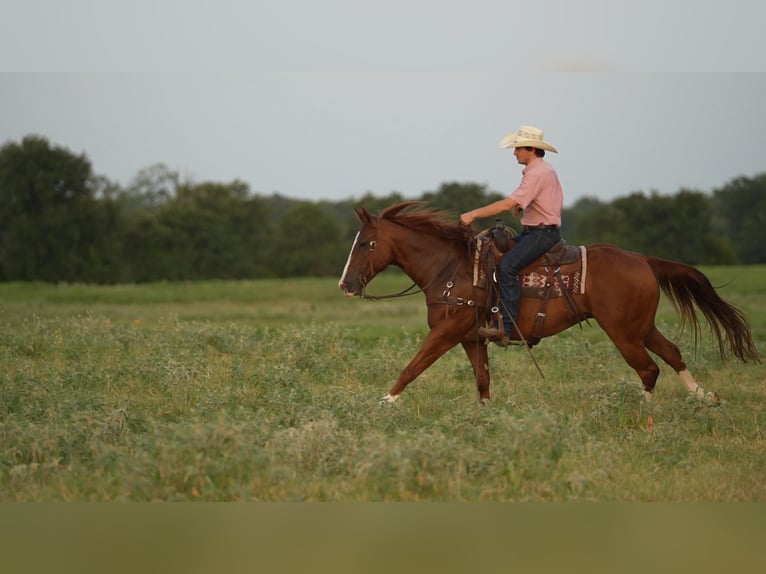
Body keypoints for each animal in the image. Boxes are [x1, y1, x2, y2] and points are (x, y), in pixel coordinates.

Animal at [338, 201, 760, 404]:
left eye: (365, 243)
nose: (345, 284)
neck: (451, 268)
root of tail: (643, 259)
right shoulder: (471, 338)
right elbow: (483, 382)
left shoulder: (446, 332)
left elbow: (411, 368)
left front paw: (382, 403)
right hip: (642, 326)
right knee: (671, 354)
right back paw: (704, 397)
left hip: (623, 332)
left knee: (648, 369)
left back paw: (645, 417)